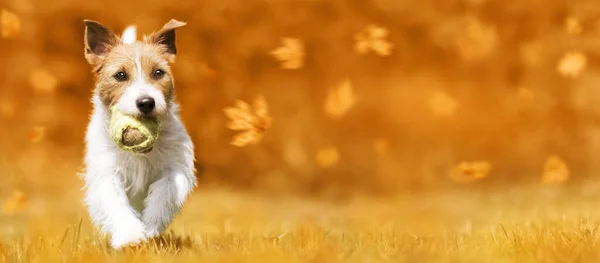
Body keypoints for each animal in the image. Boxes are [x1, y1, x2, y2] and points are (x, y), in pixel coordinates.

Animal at [81, 19, 195, 250]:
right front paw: (130, 236)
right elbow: (115, 203)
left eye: (158, 72)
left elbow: (165, 191)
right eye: (120, 75)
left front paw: (151, 224)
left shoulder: (176, 167)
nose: (146, 102)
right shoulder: (107, 173)